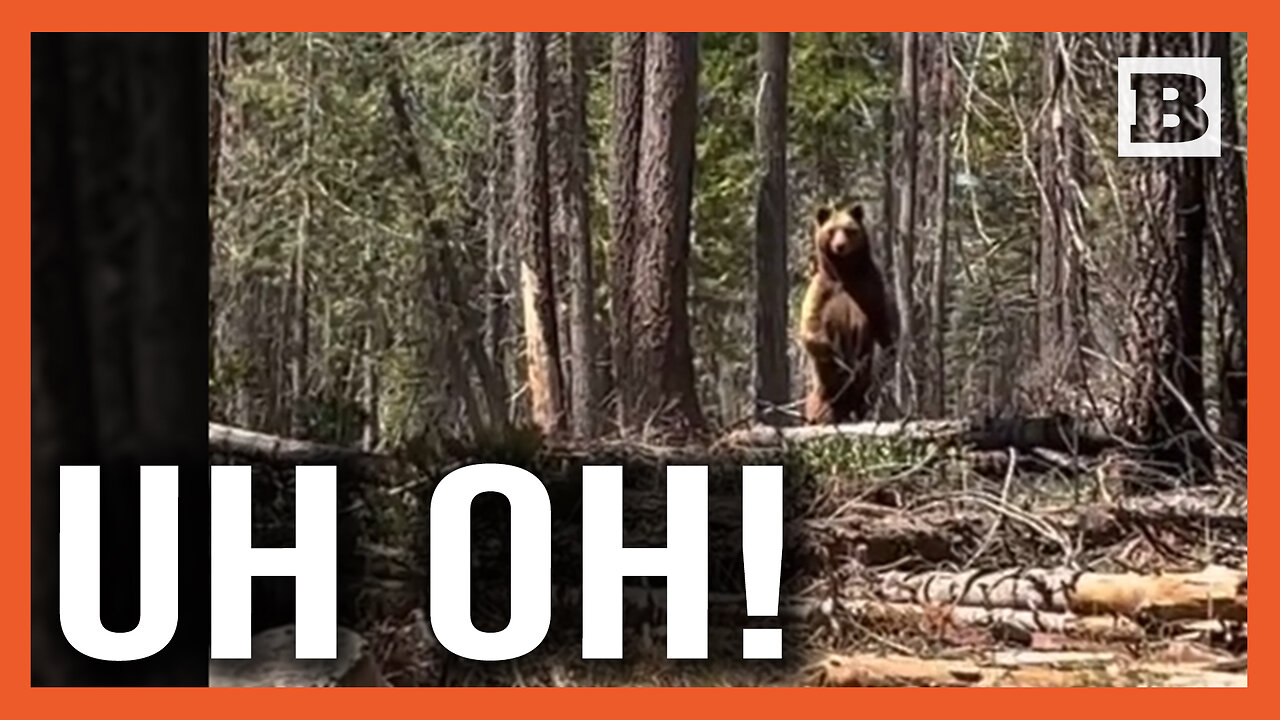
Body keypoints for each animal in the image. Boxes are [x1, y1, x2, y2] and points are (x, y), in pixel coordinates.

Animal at [798, 203, 895, 424]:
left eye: (849, 229)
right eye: (832, 230)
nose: (840, 246)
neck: (844, 274)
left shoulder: (870, 288)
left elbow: (881, 322)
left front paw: (889, 353)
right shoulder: (822, 290)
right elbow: (811, 327)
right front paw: (836, 357)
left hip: (863, 393)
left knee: (865, 400)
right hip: (822, 396)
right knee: (823, 407)